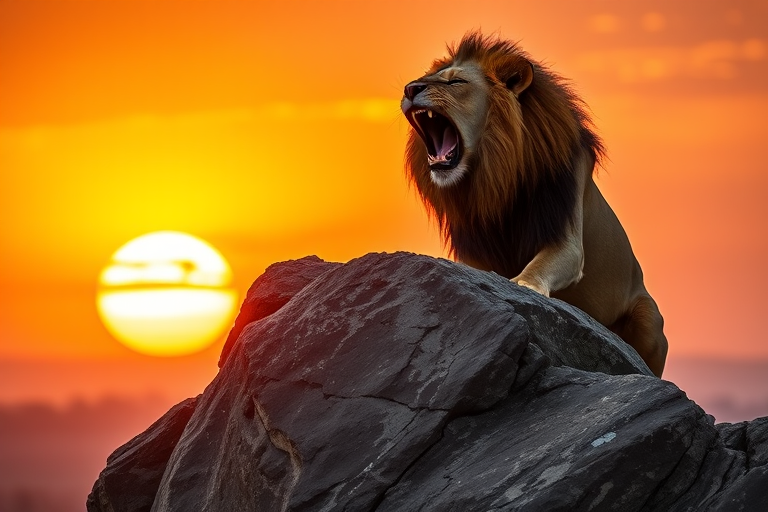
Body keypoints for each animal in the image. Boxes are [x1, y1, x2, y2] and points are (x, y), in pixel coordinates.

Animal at [401, 32, 668, 376]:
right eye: (426, 78)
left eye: (455, 82)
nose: (409, 89)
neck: (493, 180)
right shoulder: (472, 252)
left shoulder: (567, 237)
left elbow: (542, 264)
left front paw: (520, 284)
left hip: (649, 320)